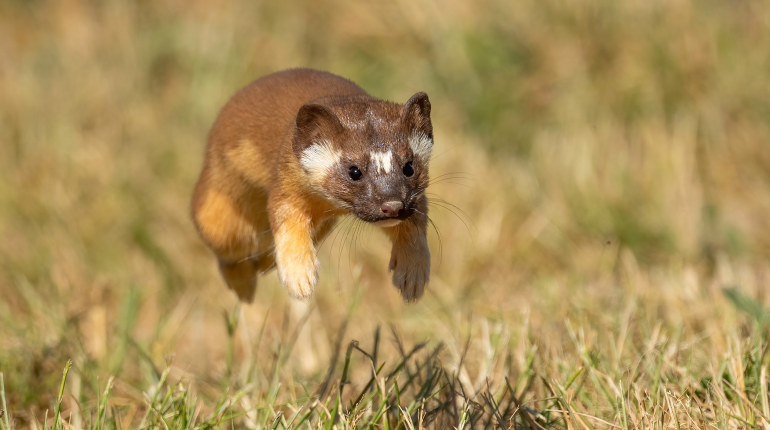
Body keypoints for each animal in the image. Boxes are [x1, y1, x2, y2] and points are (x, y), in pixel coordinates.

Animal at [190, 68, 432, 302]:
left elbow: (415, 226)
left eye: (409, 166)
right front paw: (299, 277)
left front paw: (412, 275)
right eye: (354, 171)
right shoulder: (284, 183)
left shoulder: (416, 200)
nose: (392, 204)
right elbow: (286, 217)